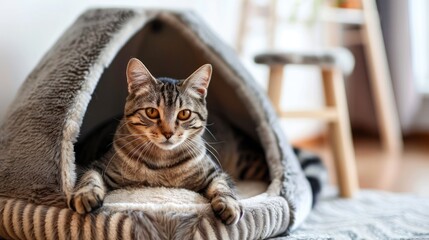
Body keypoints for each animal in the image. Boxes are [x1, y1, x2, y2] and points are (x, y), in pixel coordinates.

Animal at [70, 57, 244, 225]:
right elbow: (89, 177)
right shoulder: (100, 165)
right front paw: (85, 195)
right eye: (151, 112)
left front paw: (230, 205)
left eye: (184, 114)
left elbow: (223, 186)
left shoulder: (215, 172)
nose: (168, 133)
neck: (161, 163)